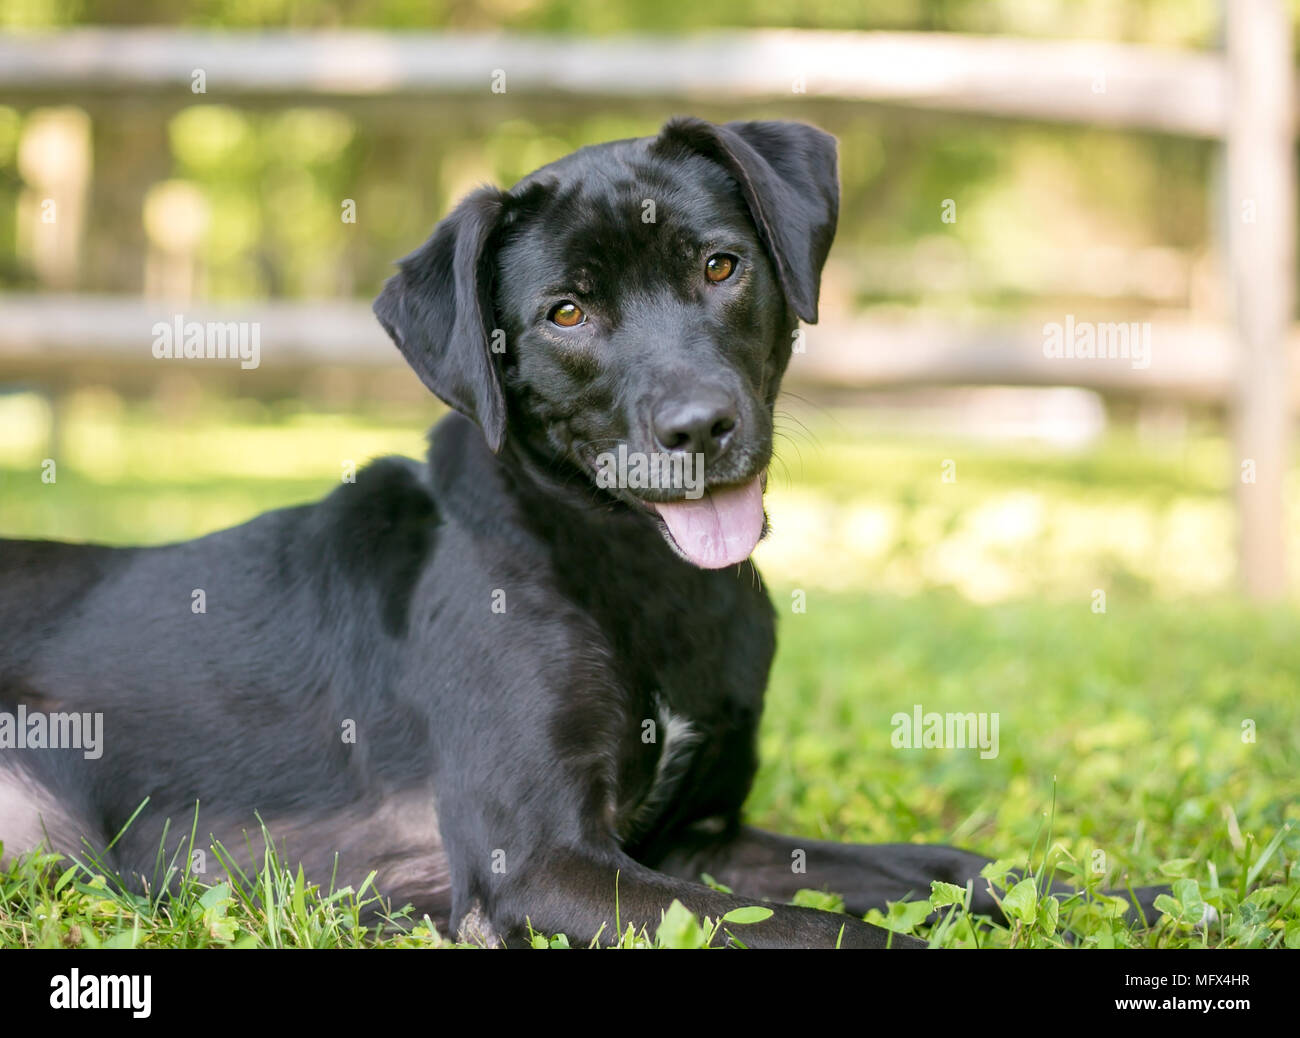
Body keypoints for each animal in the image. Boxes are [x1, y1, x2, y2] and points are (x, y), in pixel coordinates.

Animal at [0, 117, 1159, 946]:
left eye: (721, 266)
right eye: (565, 313)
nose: (699, 427)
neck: (638, 570)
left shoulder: (698, 842)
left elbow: (942, 866)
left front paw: (1112, 901)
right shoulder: (544, 865)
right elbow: (829, 933)